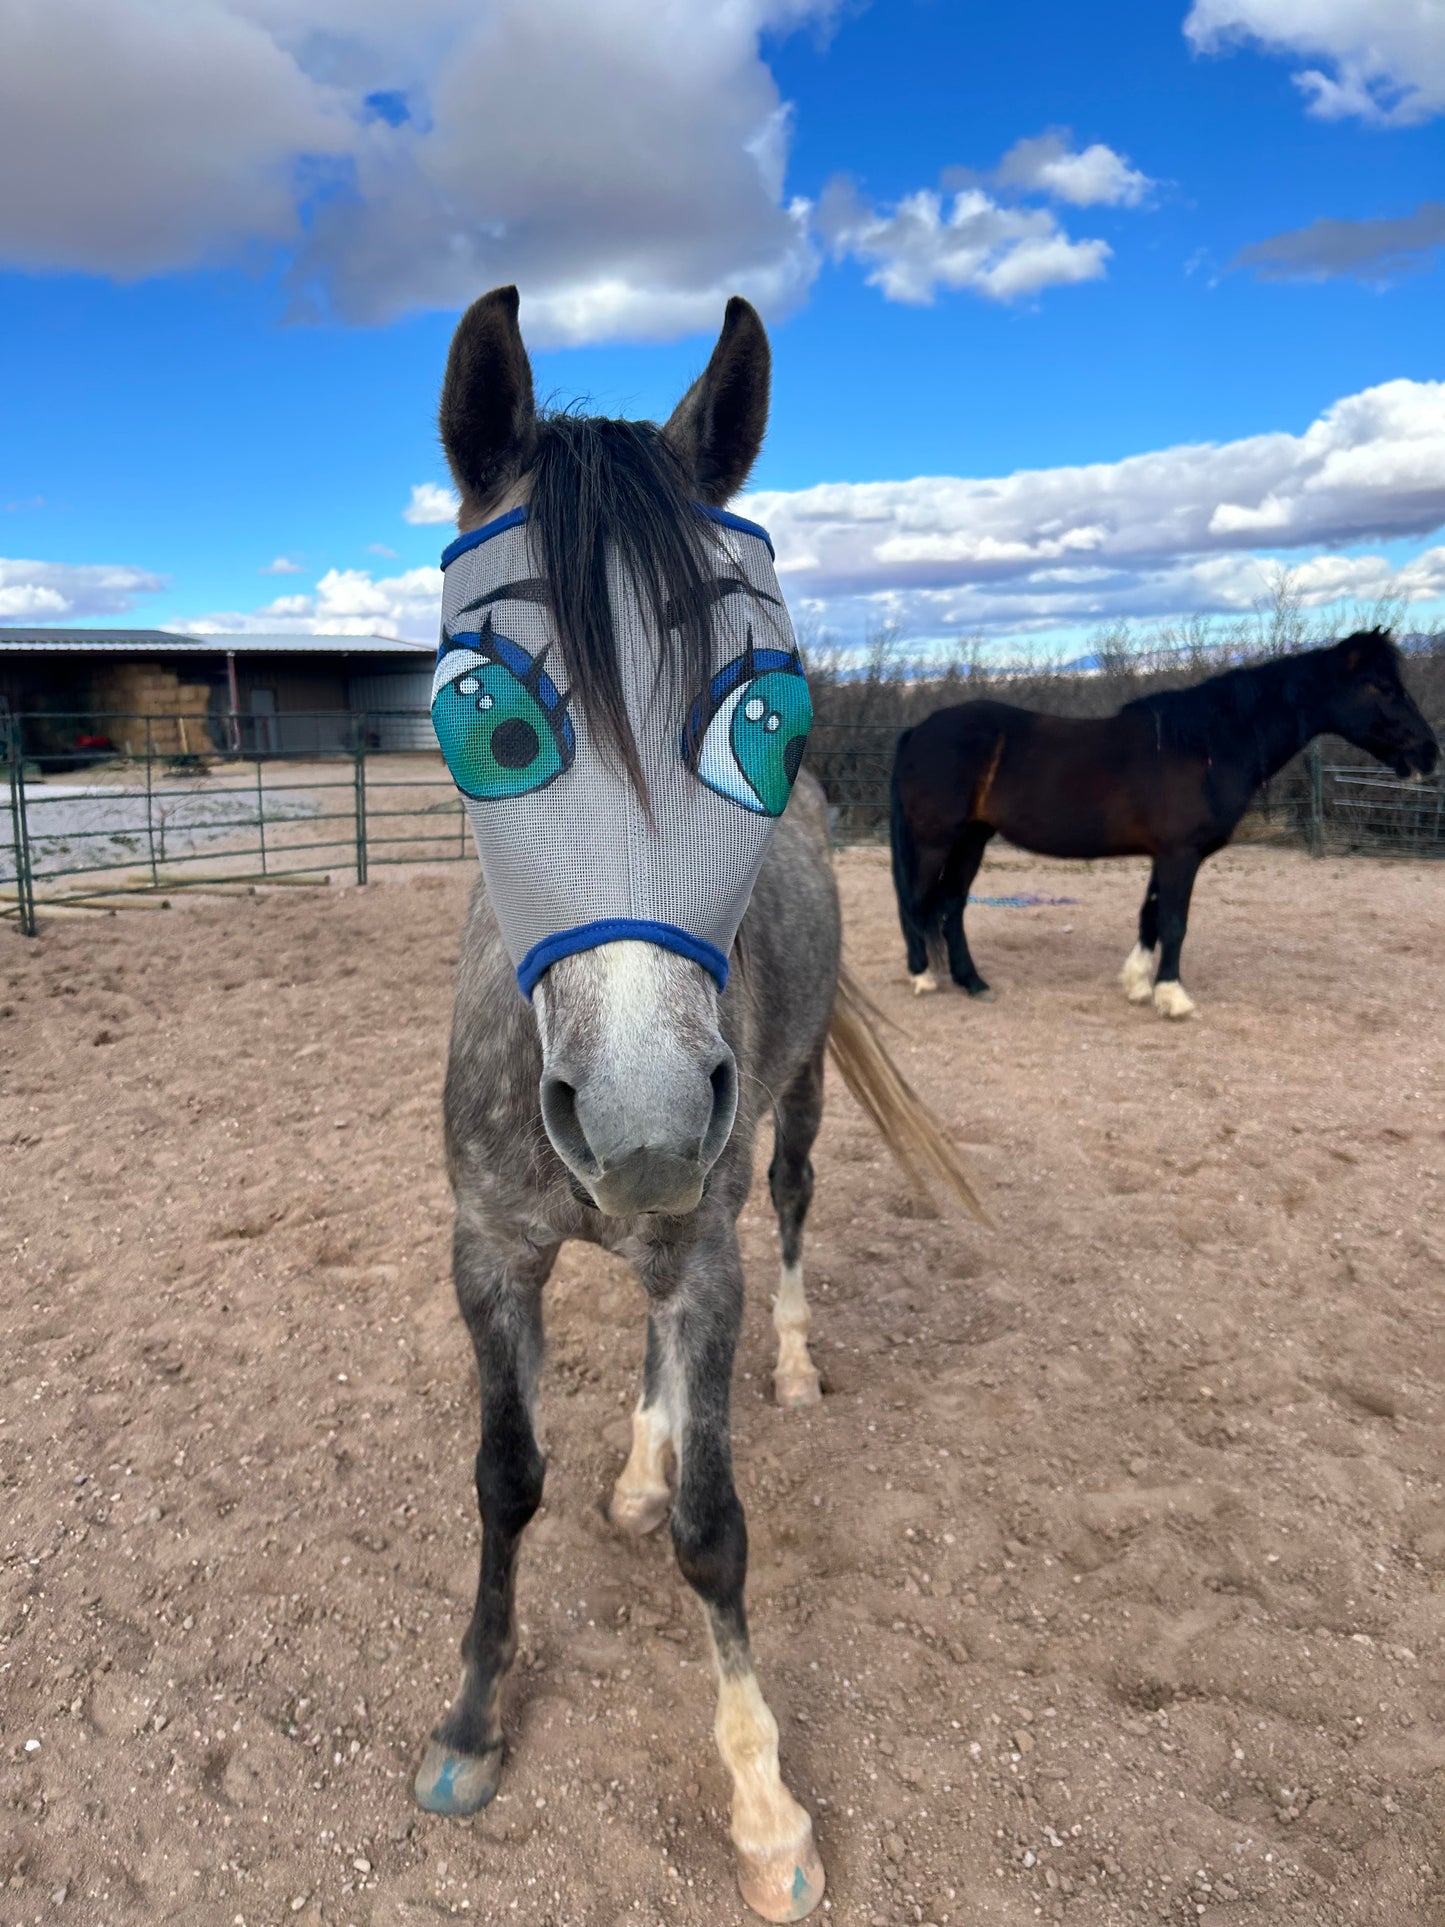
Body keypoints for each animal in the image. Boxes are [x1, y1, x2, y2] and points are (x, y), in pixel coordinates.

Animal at [412, 289, 978, 1927]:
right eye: (485, 722)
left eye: (764, 721)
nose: (648, 1120)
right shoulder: (490, 1253)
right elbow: (504, 1480)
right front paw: (470, 1722)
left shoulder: (704, 1244)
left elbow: (717, 1537)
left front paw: (766, 1803)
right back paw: (637, 1457)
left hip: (777, 1132)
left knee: (780, 1214)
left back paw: (778, 1370)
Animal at [890, 635, 1441, 1025]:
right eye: (1382, 687)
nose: (1428, 752)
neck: (1204, 746)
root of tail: (919, 730)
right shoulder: (1180, 854)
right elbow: (1174, 922)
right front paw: (1172, 997)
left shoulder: (1167, 855)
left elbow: (1150, 917)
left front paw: (1137, 984)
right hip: (936, 840)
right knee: (916, 903)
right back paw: (922, 977)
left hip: (972, 839)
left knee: (950, 906)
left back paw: (972, 981)